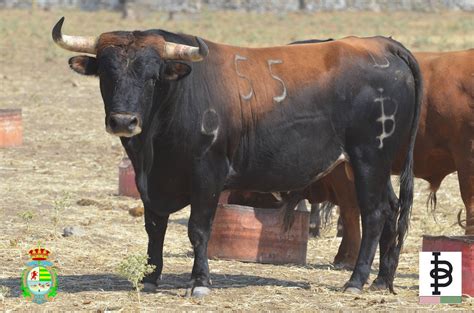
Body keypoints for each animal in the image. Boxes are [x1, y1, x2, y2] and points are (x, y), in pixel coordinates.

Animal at [52, 17, 422, 294]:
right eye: (107, 74)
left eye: (152, 76)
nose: (123, 121)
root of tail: (381, 44)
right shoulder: (151, 181)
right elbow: (154, 226)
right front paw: (150, 277)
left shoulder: (208, 173)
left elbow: (199, 228)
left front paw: (200, 281)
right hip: (370, 166)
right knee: (391, 210)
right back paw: (382, 280)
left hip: (368, 158)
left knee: (373, 214)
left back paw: (356, 281)